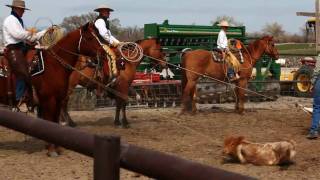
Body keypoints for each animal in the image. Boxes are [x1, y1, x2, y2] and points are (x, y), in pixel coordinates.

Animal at [0, 23, 108, 157]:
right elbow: (50, 120)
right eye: (89, 38)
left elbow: (55, 121)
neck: (53, 65)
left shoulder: (58, 100)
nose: (103, 53)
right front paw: (51, 150)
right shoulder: (49, 100)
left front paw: (56, 148)